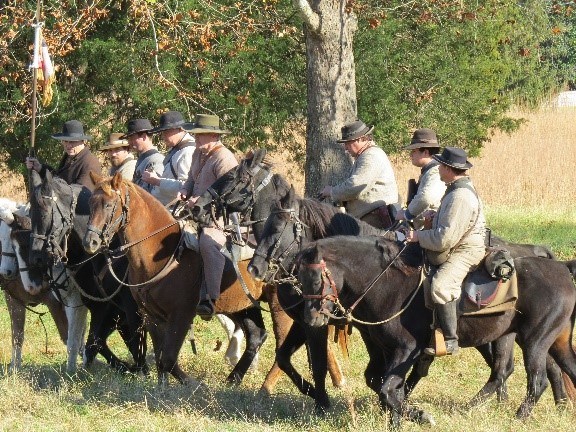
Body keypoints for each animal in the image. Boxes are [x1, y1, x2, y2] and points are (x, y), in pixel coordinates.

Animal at [27, 169, 148, 374]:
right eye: (30, 212)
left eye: (46, 212)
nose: (36, 258)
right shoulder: (96, 305)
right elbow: (92, 342)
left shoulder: (117, 307)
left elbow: (102, 341)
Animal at [83, 172, 296, 388]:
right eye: (90, 204)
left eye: (109, 205)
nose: (90, 242)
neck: (160, 254)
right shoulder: (152, 317)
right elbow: (160, 358)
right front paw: (163, 388)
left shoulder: (181, 316)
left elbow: (168, 359)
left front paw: (190, 385)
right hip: (244, 305)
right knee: (256, 336)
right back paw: (233, 380)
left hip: (280, 308)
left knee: (282, 348)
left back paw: (265, 386)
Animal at [294, 236, 576, 428]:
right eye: (299, 278)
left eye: (317, 279)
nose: (310, 319)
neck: (387, 283)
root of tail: (562, 268)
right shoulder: (387, 350)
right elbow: (383, 385)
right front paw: (397, 419)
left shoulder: (407, 349)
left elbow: (388, 389)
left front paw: (421, 415)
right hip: (543, 340)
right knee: (516, 371)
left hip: (535, 341)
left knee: (536, 380)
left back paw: (517, 417)